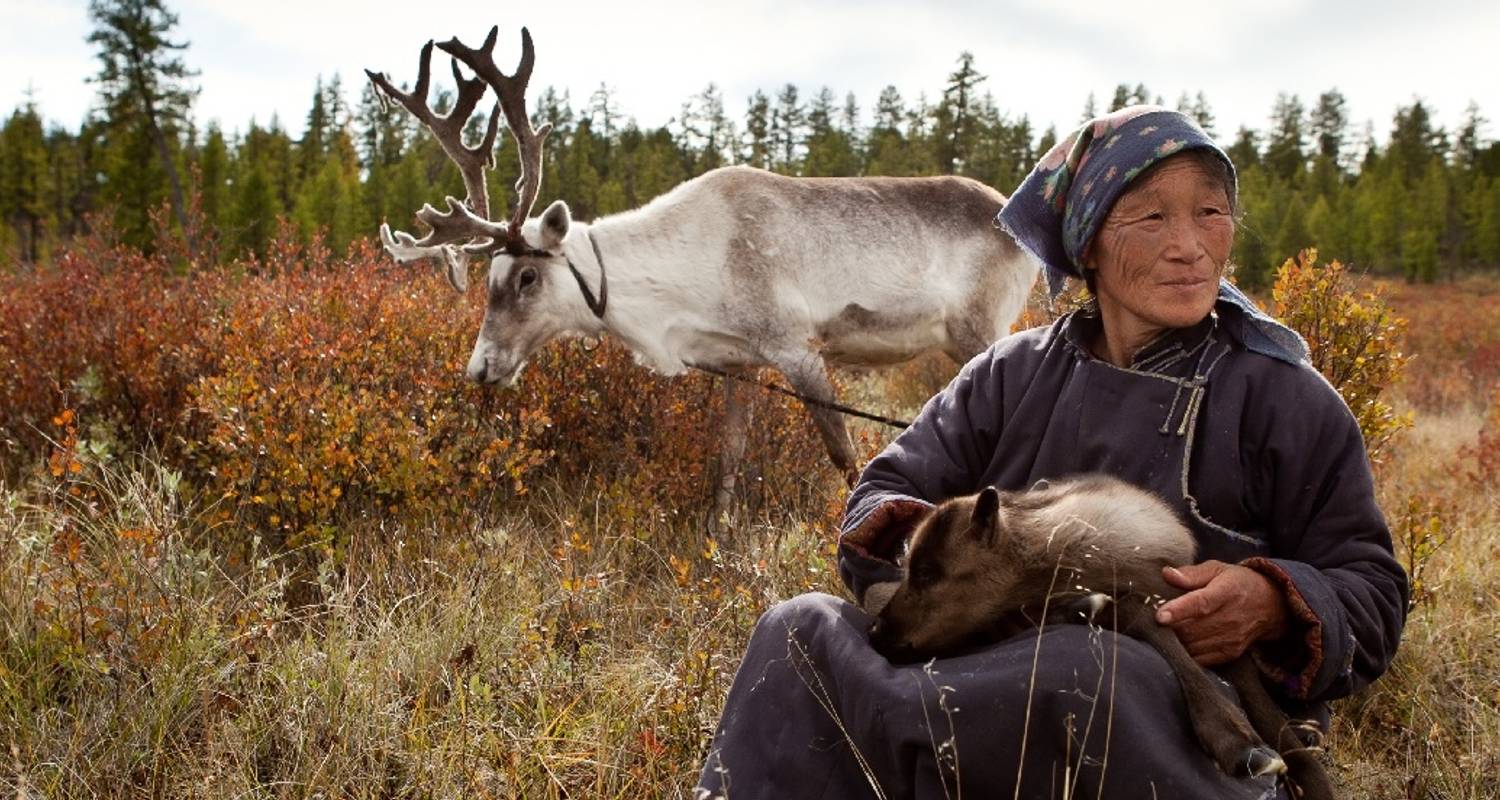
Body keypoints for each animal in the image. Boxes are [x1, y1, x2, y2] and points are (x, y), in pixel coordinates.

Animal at [870, 474, 1338, 798]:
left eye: (928, 572)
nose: (877, 632)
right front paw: (1248, 747)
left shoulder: (1188, 602)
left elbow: (1257, 698)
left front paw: (1263, 753)